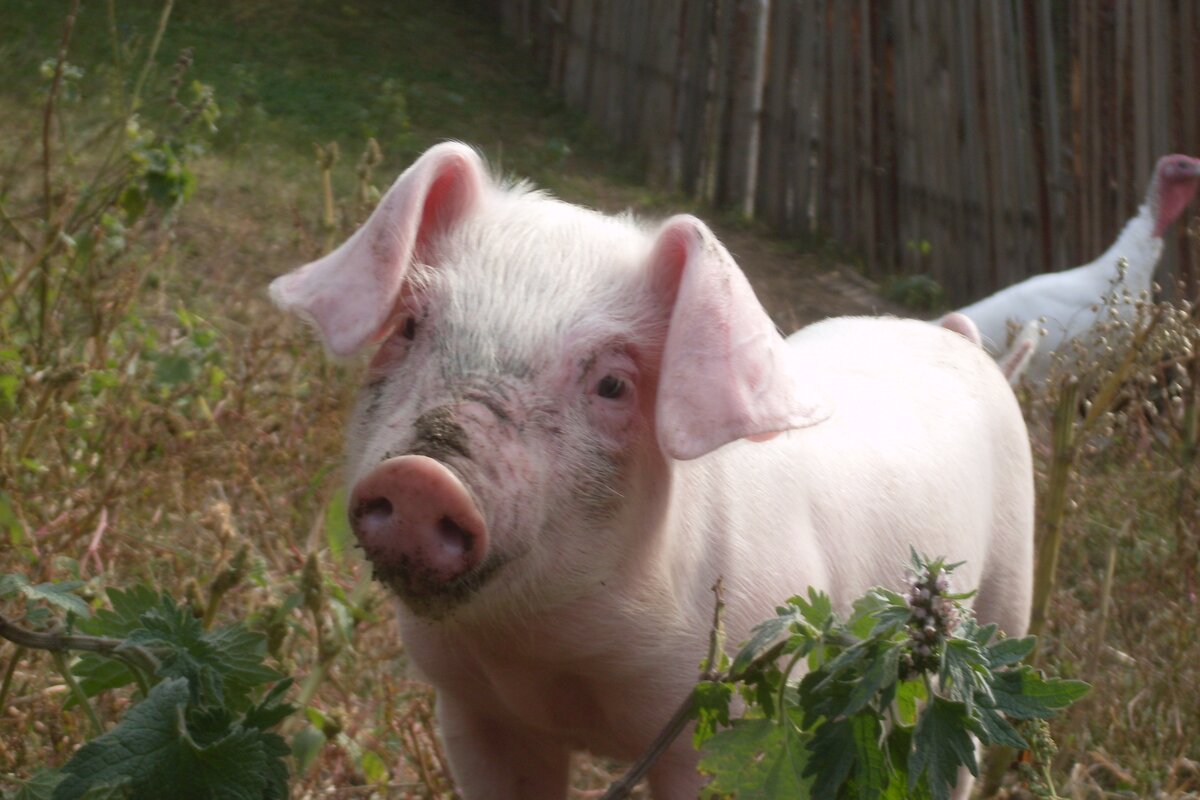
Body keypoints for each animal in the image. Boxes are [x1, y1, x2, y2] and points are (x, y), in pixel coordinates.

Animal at [270, 143, 1032, 800]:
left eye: (613, 383)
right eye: (407, 325)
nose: (423, 477)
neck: (552, 657)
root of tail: (954, 335)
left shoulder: (721, 726)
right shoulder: (472, 710)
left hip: (999, 613)